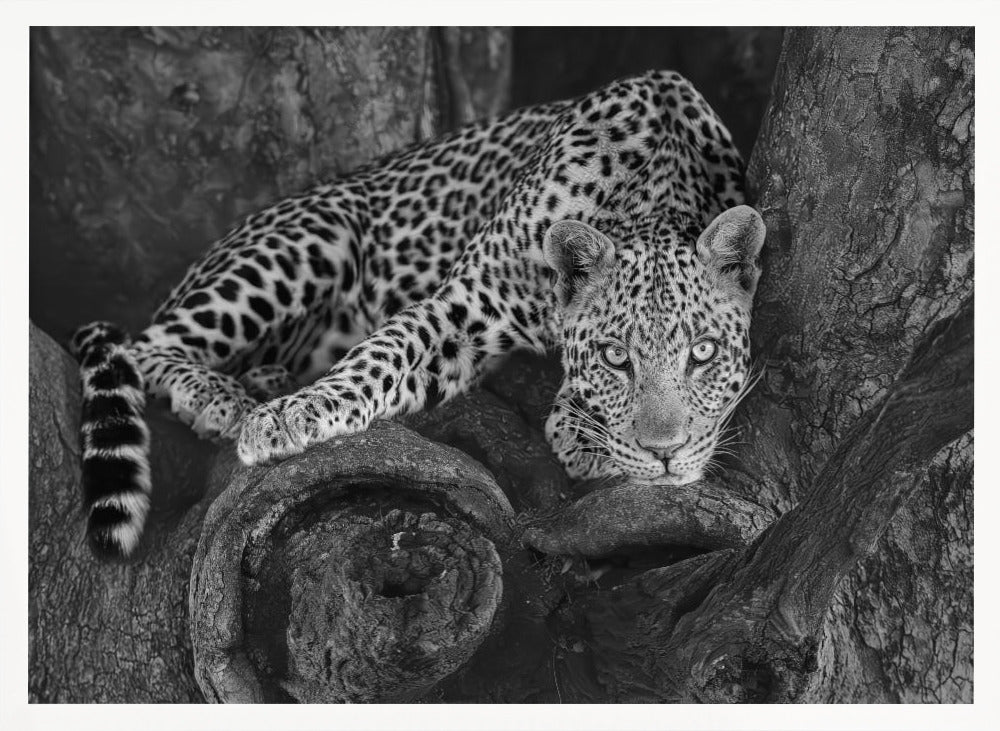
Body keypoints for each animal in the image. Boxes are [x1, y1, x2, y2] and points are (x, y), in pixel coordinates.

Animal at [72, 70, 765, 560]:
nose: (666, 454)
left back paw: (264, 379)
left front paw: (581, 428)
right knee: (143, 345)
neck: (650, 190)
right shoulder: (464, 304)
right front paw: (288, 420)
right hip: (310, 238)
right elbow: (381, 354)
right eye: (616, 358)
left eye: (703, 353)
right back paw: (225, 399)